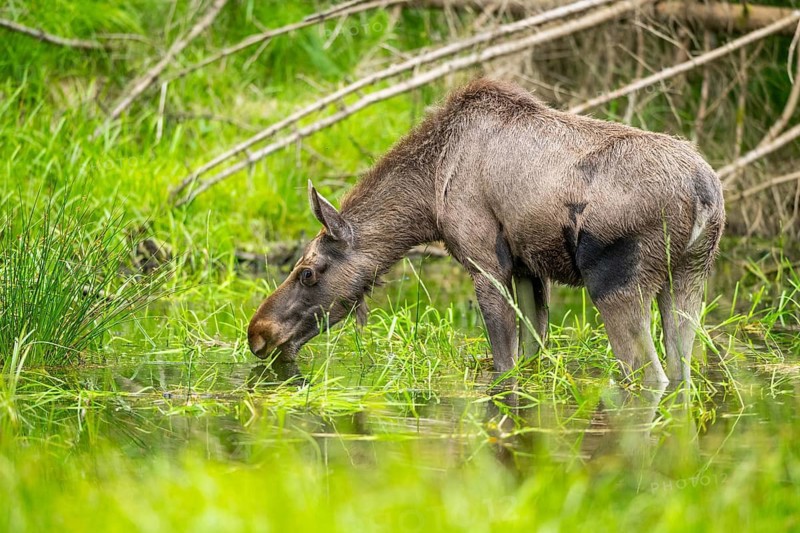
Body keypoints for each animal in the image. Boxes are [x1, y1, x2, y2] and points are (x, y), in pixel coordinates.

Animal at [247, 79, 724, 384]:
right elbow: (532, 358)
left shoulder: (486, 264)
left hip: (616, 281)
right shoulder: (530, 268)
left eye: (308, 271)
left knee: (650, 377)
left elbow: (503, 366)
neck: (429, 196)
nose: (258, 333)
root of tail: (704, 194)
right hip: (688, 276)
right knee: (682, 372)